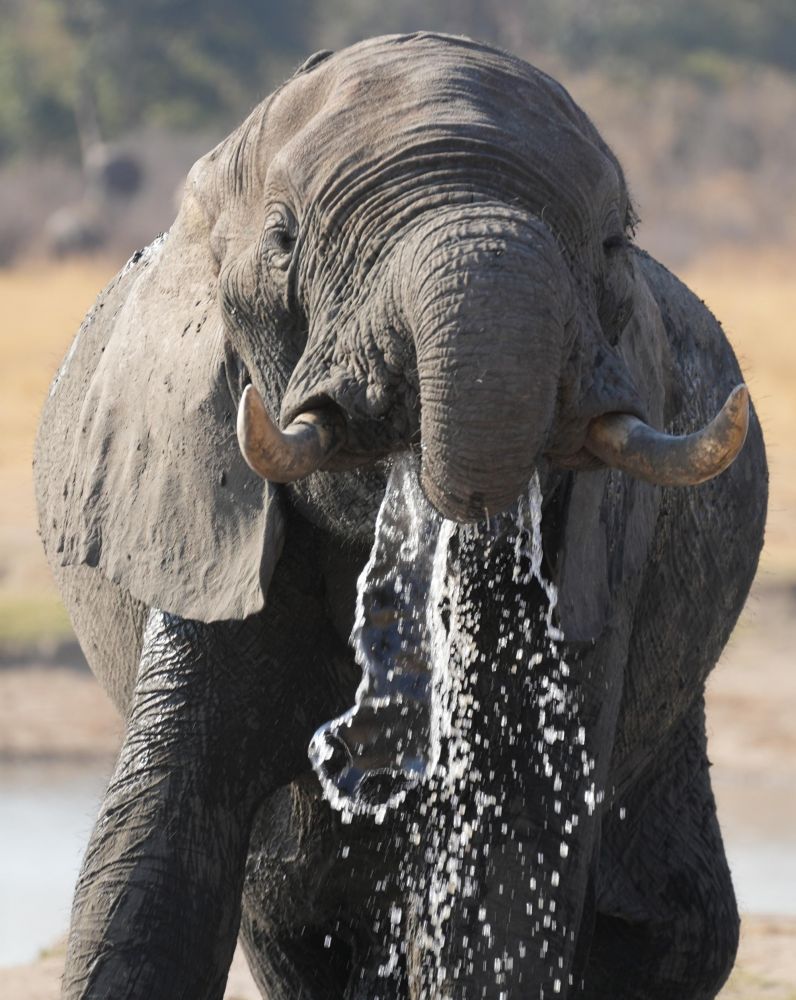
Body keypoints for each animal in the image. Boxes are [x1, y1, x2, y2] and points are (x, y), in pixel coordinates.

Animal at [34, 31, 768, 1000]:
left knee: (675, 928)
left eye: (614, 243)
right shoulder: (203, 512)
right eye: (283, 239)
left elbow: (505, 858)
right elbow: (156, 854)